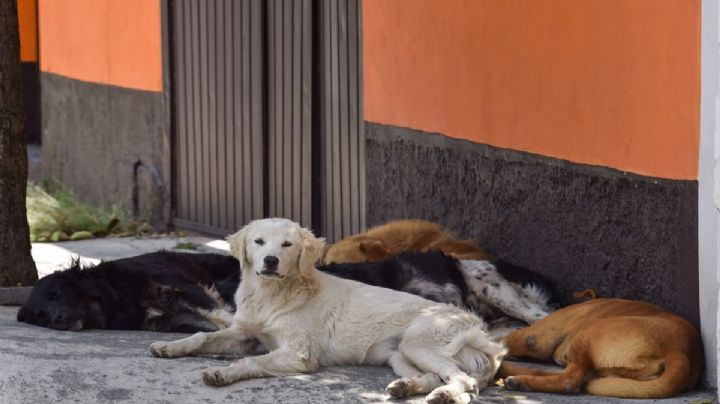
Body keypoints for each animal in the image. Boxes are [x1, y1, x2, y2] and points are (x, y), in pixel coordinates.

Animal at [17, 251, 239, 332]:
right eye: (40, 316)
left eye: (56, 294)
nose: (58, 319)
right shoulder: (168, 322)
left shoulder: (182, 289)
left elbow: (219, 314)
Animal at [500, 298, 704, 400]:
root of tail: (679, 352)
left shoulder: (534, 338)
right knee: (551, 373)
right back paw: (509, 373)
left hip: (589, 334)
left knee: (569, 380)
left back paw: (518, 379)